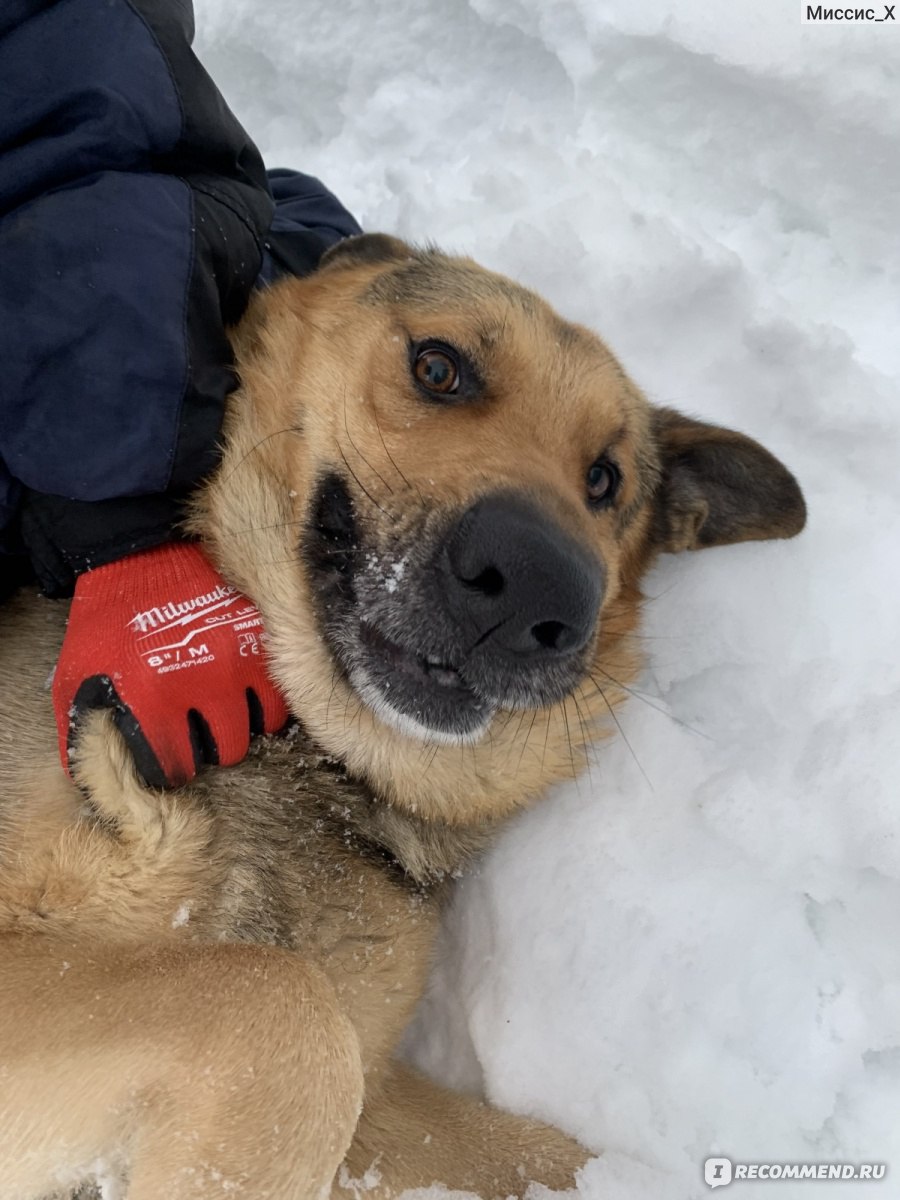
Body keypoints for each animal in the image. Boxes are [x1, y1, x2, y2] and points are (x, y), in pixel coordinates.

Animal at [0, 229, 806, 1195]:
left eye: (605, 480)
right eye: (438, 368)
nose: (539, 588)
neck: (314, 755)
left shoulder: (377, 1098)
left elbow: (537, 1150)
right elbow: (276, 999)